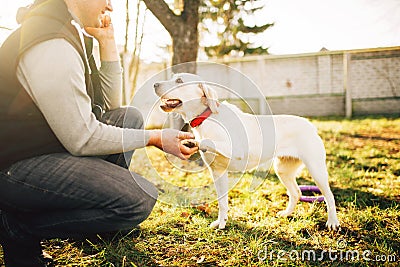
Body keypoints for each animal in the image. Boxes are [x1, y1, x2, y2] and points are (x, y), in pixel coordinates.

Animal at [152, 73, 338, 230]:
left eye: (179, 81)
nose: (154, 84)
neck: (208, 117)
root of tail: (310, 125)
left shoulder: (237, 150)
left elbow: (208, 141)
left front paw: (195, 142)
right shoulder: (218, 172)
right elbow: (222, 202)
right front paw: (221, 223)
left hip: (316, 170)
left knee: (329, 196)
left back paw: (332, 222)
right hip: (283, 170)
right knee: (296, 193)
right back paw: (286, 214)